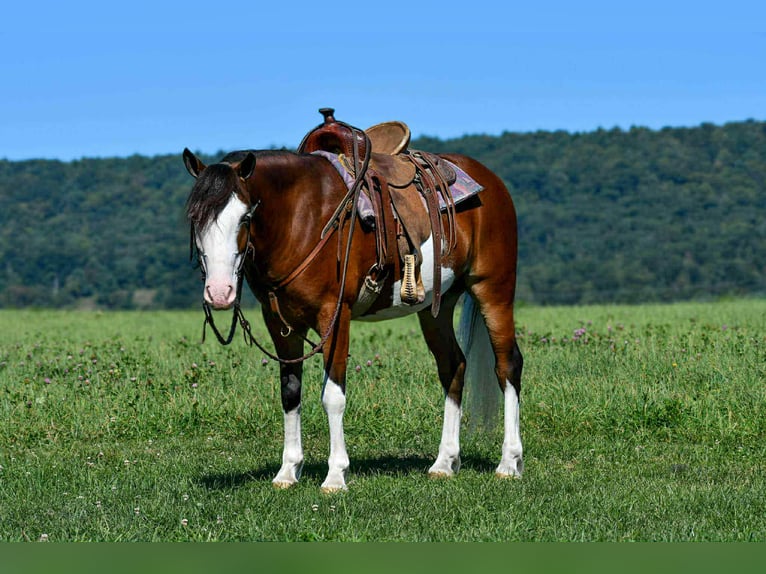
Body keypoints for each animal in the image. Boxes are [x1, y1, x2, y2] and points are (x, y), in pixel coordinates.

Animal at [182, 122, 523, 493]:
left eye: (245, 217)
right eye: (194, 218)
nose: (219, 292)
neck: (302, 217)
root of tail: (491, 181)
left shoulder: (334, 314)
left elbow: (333, 395)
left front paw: (335, 475)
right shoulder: (279, 322)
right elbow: (290, 392)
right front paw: (287, 471)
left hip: (493, 288)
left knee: (507, 366)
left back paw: (509, 462)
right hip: (438, 304)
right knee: (453, 366)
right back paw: (444, 463)